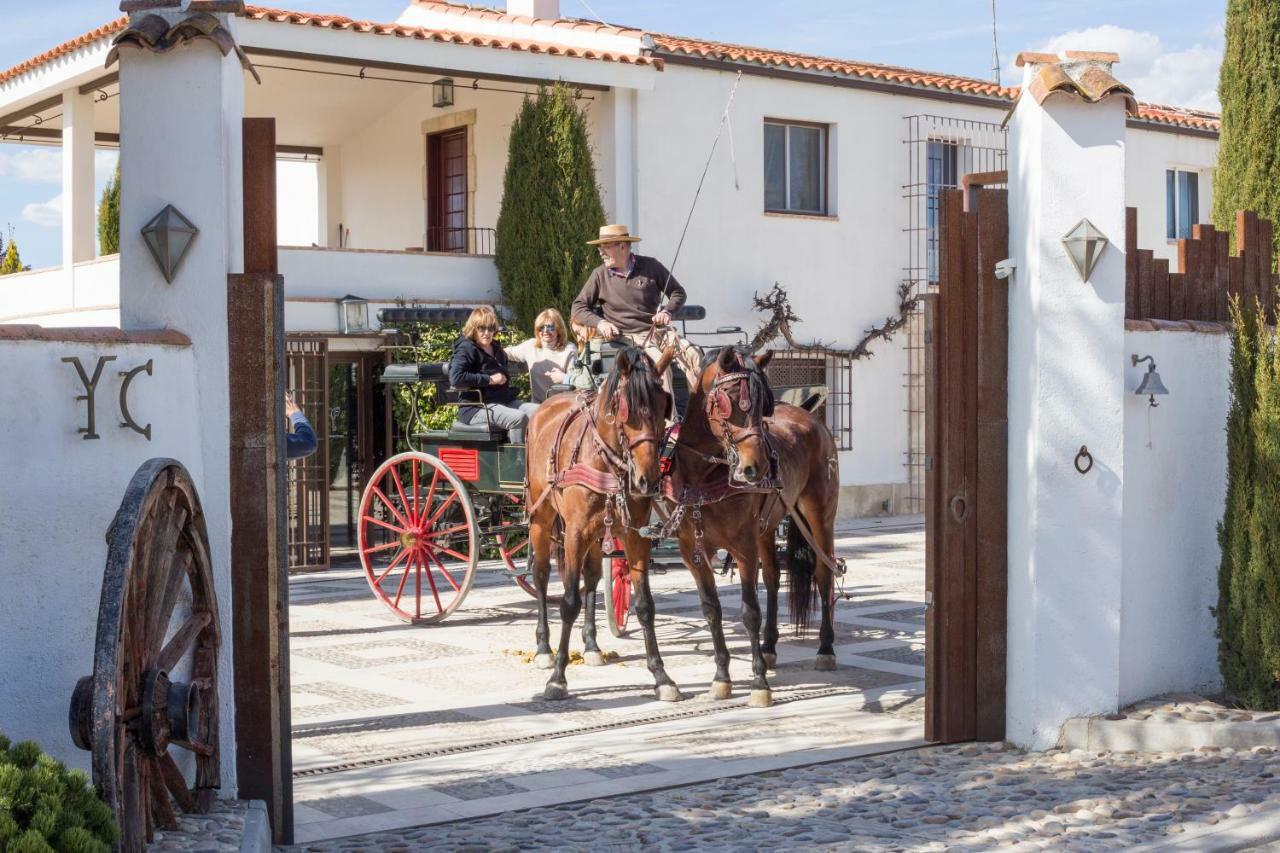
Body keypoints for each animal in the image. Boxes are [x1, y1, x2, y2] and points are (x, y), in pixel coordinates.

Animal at [524, 343, 680, 696]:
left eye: (663, 405)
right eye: (625, 410)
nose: (647, 480)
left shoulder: (635, 536)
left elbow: (645, 605)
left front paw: (661, 675)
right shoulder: (574, 533)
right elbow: (569, 601)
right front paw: (558, 677)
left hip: (599, 533)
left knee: (593, 576)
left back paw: (592, 645)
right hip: (541, 517)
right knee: (541, 576)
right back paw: (543, 649)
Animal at [660, 343, 839, 701]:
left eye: (763, 406)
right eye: (730, 399)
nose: (756, 467)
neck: (703, 477)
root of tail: (812, 418)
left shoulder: (742, 546)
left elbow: (748, 611)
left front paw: (758, 682)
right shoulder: (692, 551)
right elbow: (711, 610)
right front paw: (722, 676)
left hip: (820, 515)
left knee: (823, 573)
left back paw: (825, 648)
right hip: (766, 527)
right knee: (771, 577)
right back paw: (769, 646)